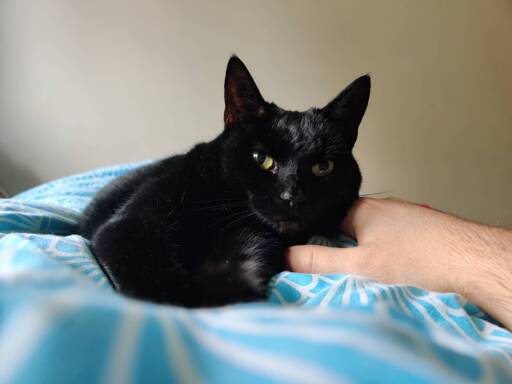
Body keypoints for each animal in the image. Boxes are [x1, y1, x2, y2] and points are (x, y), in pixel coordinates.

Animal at [79, 57, 368, 308]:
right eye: (261, 158)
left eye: (323, 167)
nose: (293, 197)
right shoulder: (129, 227)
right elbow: (158, 287)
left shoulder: (245, 247)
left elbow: (236, 283)